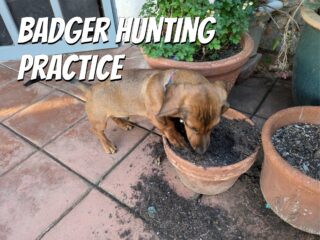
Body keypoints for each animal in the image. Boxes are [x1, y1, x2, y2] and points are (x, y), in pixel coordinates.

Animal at [71, 69, 229, 154]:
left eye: (214, 127)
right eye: (192, 128)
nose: (202, 152)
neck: (165, 85)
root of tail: (91, 88)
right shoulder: (154, 117)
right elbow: (168, 127)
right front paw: (177, 139)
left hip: (120, 111)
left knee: (115, 117)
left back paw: (123, 124)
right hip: (99, 120)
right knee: (97, 131)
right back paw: (107, 145)